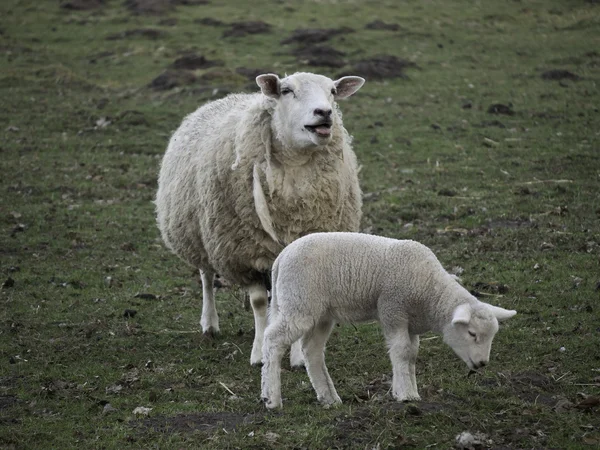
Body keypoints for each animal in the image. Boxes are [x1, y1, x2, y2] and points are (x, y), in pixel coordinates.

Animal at [155, 71, 364, 366]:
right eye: (286, 90)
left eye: (333, 91)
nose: (324, 112)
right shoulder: (245, 253)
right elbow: (257, 303)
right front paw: (258, 353)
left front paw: (297, 357)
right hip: (204, 236)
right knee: (206, 277)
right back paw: (209, 324)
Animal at [260, 232, 516, 408]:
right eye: (472, 334)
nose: (482, 363)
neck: (430, 292)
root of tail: (281, 258)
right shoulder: (393, 310)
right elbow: (401, 351)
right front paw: (406, 396)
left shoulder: (411, 324)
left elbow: (411, 355)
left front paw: (409, 390)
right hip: (300, 304)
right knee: (272, 340)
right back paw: (271, 398)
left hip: (320, 313)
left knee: (311, 350)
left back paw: (328, 398)